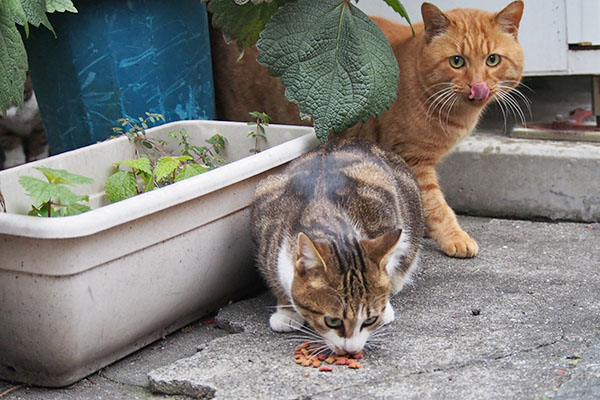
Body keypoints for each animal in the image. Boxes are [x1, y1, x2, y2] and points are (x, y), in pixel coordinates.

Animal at [210, 1, 524, 258]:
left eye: (492, 60)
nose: (478, 87)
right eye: (457, 61)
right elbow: (436, 205)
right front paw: (453, 237)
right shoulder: (413, 161)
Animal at [251, 138, 424, 354]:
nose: (351, 351)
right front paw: (286, 312)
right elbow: (274, 276)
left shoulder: (384, 213)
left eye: (369, 320)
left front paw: (385, 305)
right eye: (332, 321)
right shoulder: (264, 230)